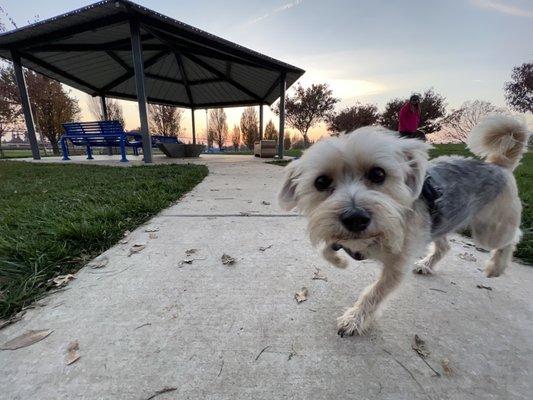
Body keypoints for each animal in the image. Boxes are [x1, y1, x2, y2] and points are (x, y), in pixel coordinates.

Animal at [278, 115, 528, 338]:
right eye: (321, 182)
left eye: (378, 173)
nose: (355, 219)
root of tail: (499, 164)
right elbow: (328, 248)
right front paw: (339, 261)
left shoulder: (397, 267)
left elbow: (374, 293)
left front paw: (354, 319)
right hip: (439, 223)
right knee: (445, 246)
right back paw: (427, 264)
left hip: (489, 230)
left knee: (513, 236)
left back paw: (497, 266)